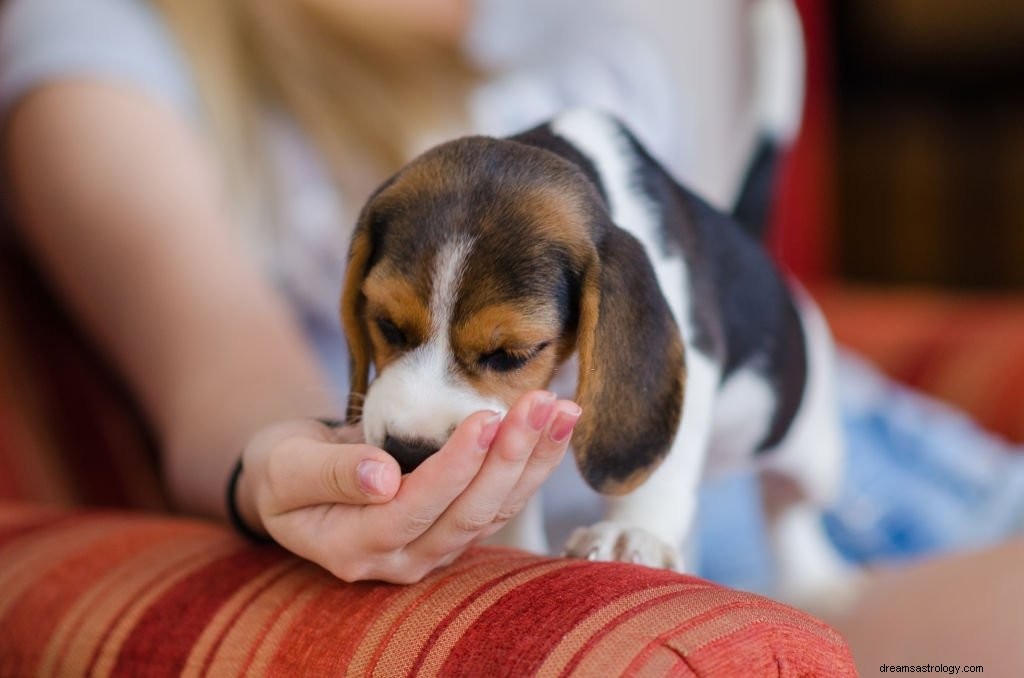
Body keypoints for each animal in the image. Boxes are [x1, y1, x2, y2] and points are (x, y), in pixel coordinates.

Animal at [342, 109, 847, 598]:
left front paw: (634, 531)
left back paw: (815, 579)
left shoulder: (694, 356)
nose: (407, 451)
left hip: (810, 455)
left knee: (788, 509)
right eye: (387, 325)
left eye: (510, 354)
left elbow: (663, 468)